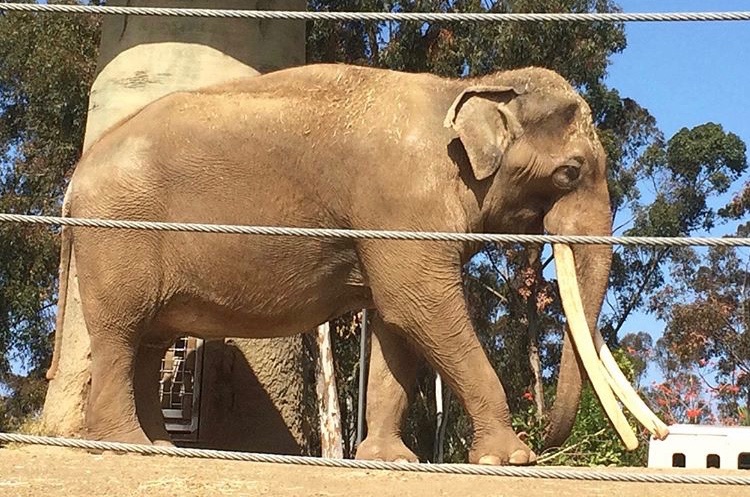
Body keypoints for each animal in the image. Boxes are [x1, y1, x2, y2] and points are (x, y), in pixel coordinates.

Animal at [53, 63, 666, 465]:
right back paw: (127, 445)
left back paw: (161, 446)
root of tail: (74, 183)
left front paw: (392, 460)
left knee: (150, 339)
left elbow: (397, 325)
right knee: (121, 333)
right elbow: (421, 307)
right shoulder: (403, 202)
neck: (463, 87)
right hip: (118, 236)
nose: (545, 438)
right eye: (570, 172)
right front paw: (511, 460)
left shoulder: (396, 222)